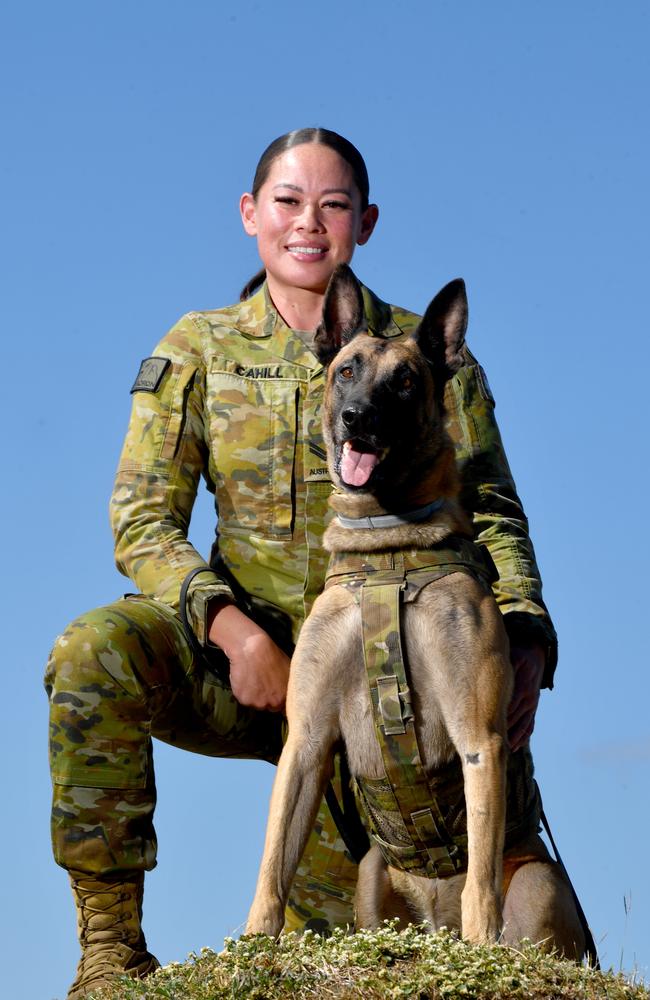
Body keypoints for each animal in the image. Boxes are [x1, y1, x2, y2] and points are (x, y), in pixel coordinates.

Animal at [246, 266, 584, 960]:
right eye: (346, 370)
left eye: (405, 382)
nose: (357, 418)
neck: (387, 545)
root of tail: (433, 927)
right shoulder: (307, 741)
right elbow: (271, 868)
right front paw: (250, 943)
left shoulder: (480, 739)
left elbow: (480, 880)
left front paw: (480, 944)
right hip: (372, 881)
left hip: (537, 886)